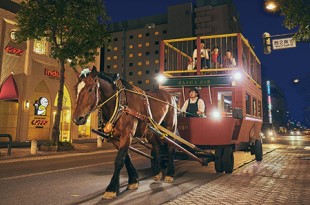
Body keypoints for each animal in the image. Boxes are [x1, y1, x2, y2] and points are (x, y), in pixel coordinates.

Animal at [71, 66, 177, 199]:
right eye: (75, 89)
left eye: (90, 89)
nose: (77, 118)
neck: (120, 104)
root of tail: (170, 95)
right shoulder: (115, 138)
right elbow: (126, 157)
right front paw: (133, 180)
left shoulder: (128, 133)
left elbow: (119, 159)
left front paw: (111, 188)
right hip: (150, 130)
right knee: (157, 146)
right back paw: (157, 171)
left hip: (170, 127)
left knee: (171, 146)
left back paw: (170, 173)